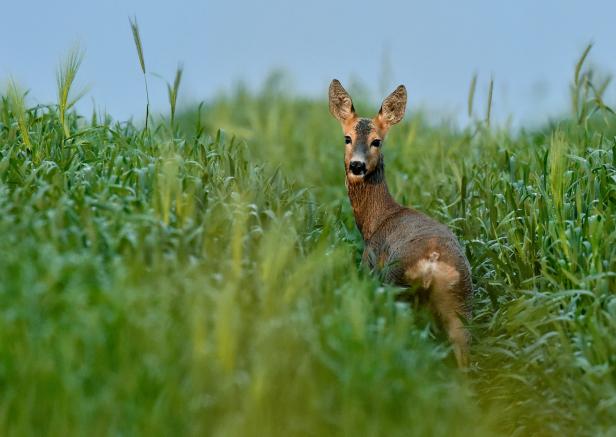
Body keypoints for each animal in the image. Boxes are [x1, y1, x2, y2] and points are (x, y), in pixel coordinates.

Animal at [330, 79, 474, 368]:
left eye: (376, 141)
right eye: (347, 138)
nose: (357, 165)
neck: (377, 220)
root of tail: (432, 261)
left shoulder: (369, 264)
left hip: (395, 287)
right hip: (460, 298)